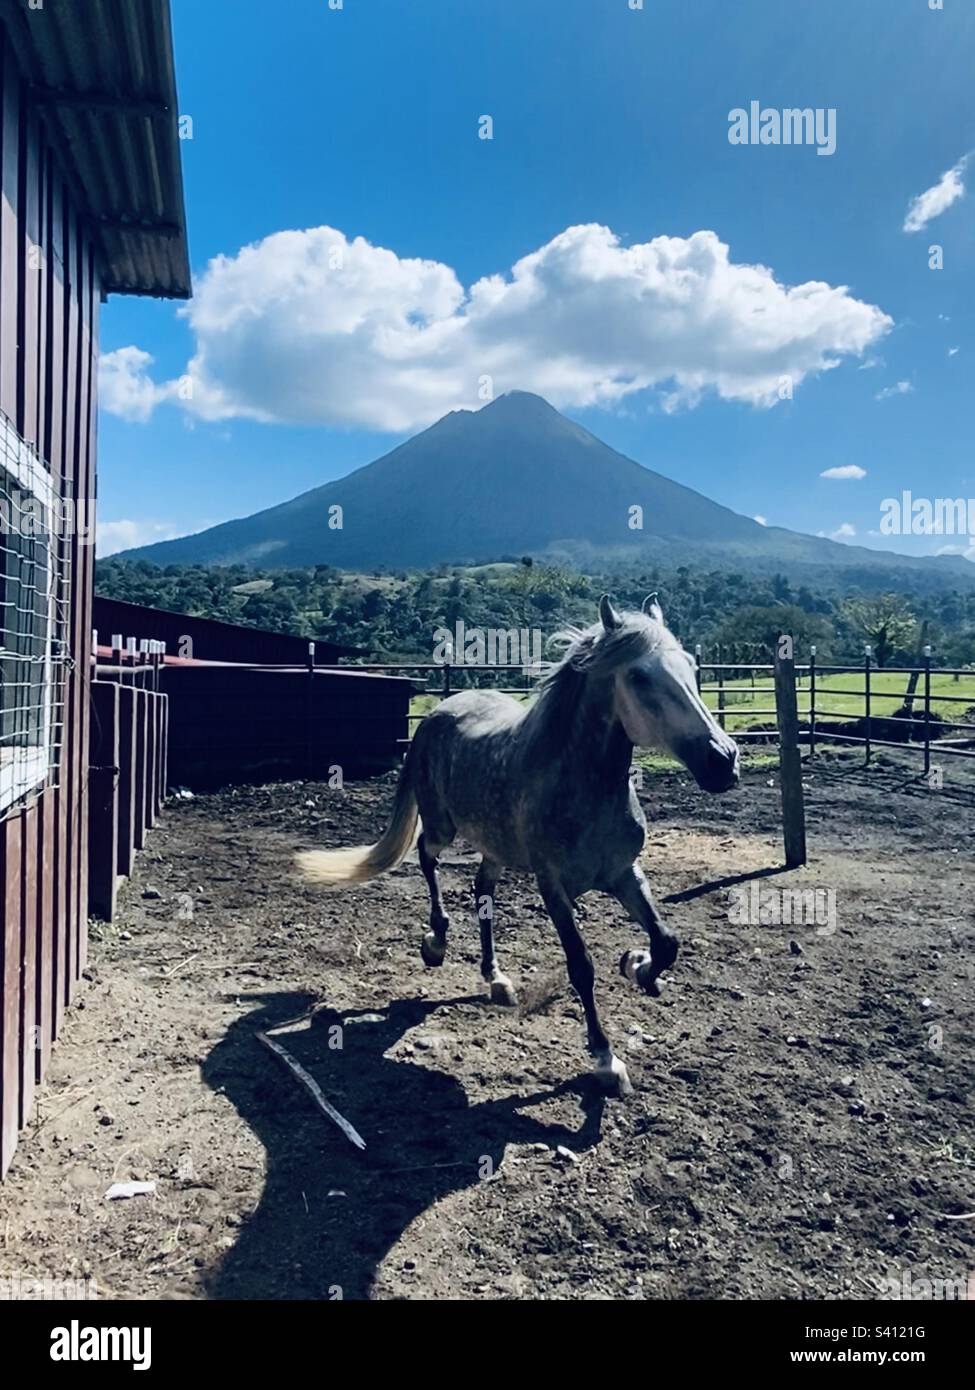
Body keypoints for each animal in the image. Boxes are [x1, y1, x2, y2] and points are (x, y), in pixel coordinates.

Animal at [296, 596, 740, 1095]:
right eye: (639, 677)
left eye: (691, 668)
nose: (724, 761)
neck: (586, 787)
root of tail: (435, 713)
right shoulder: (553, 886)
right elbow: (581, 965)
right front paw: (606, 1061)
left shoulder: (624, 873)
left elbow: (667, 941)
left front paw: (637, 966)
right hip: (443, 825)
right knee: (427, 856)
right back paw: (436, 943)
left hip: (496, 849)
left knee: (482, 891)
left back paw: (496, 979)